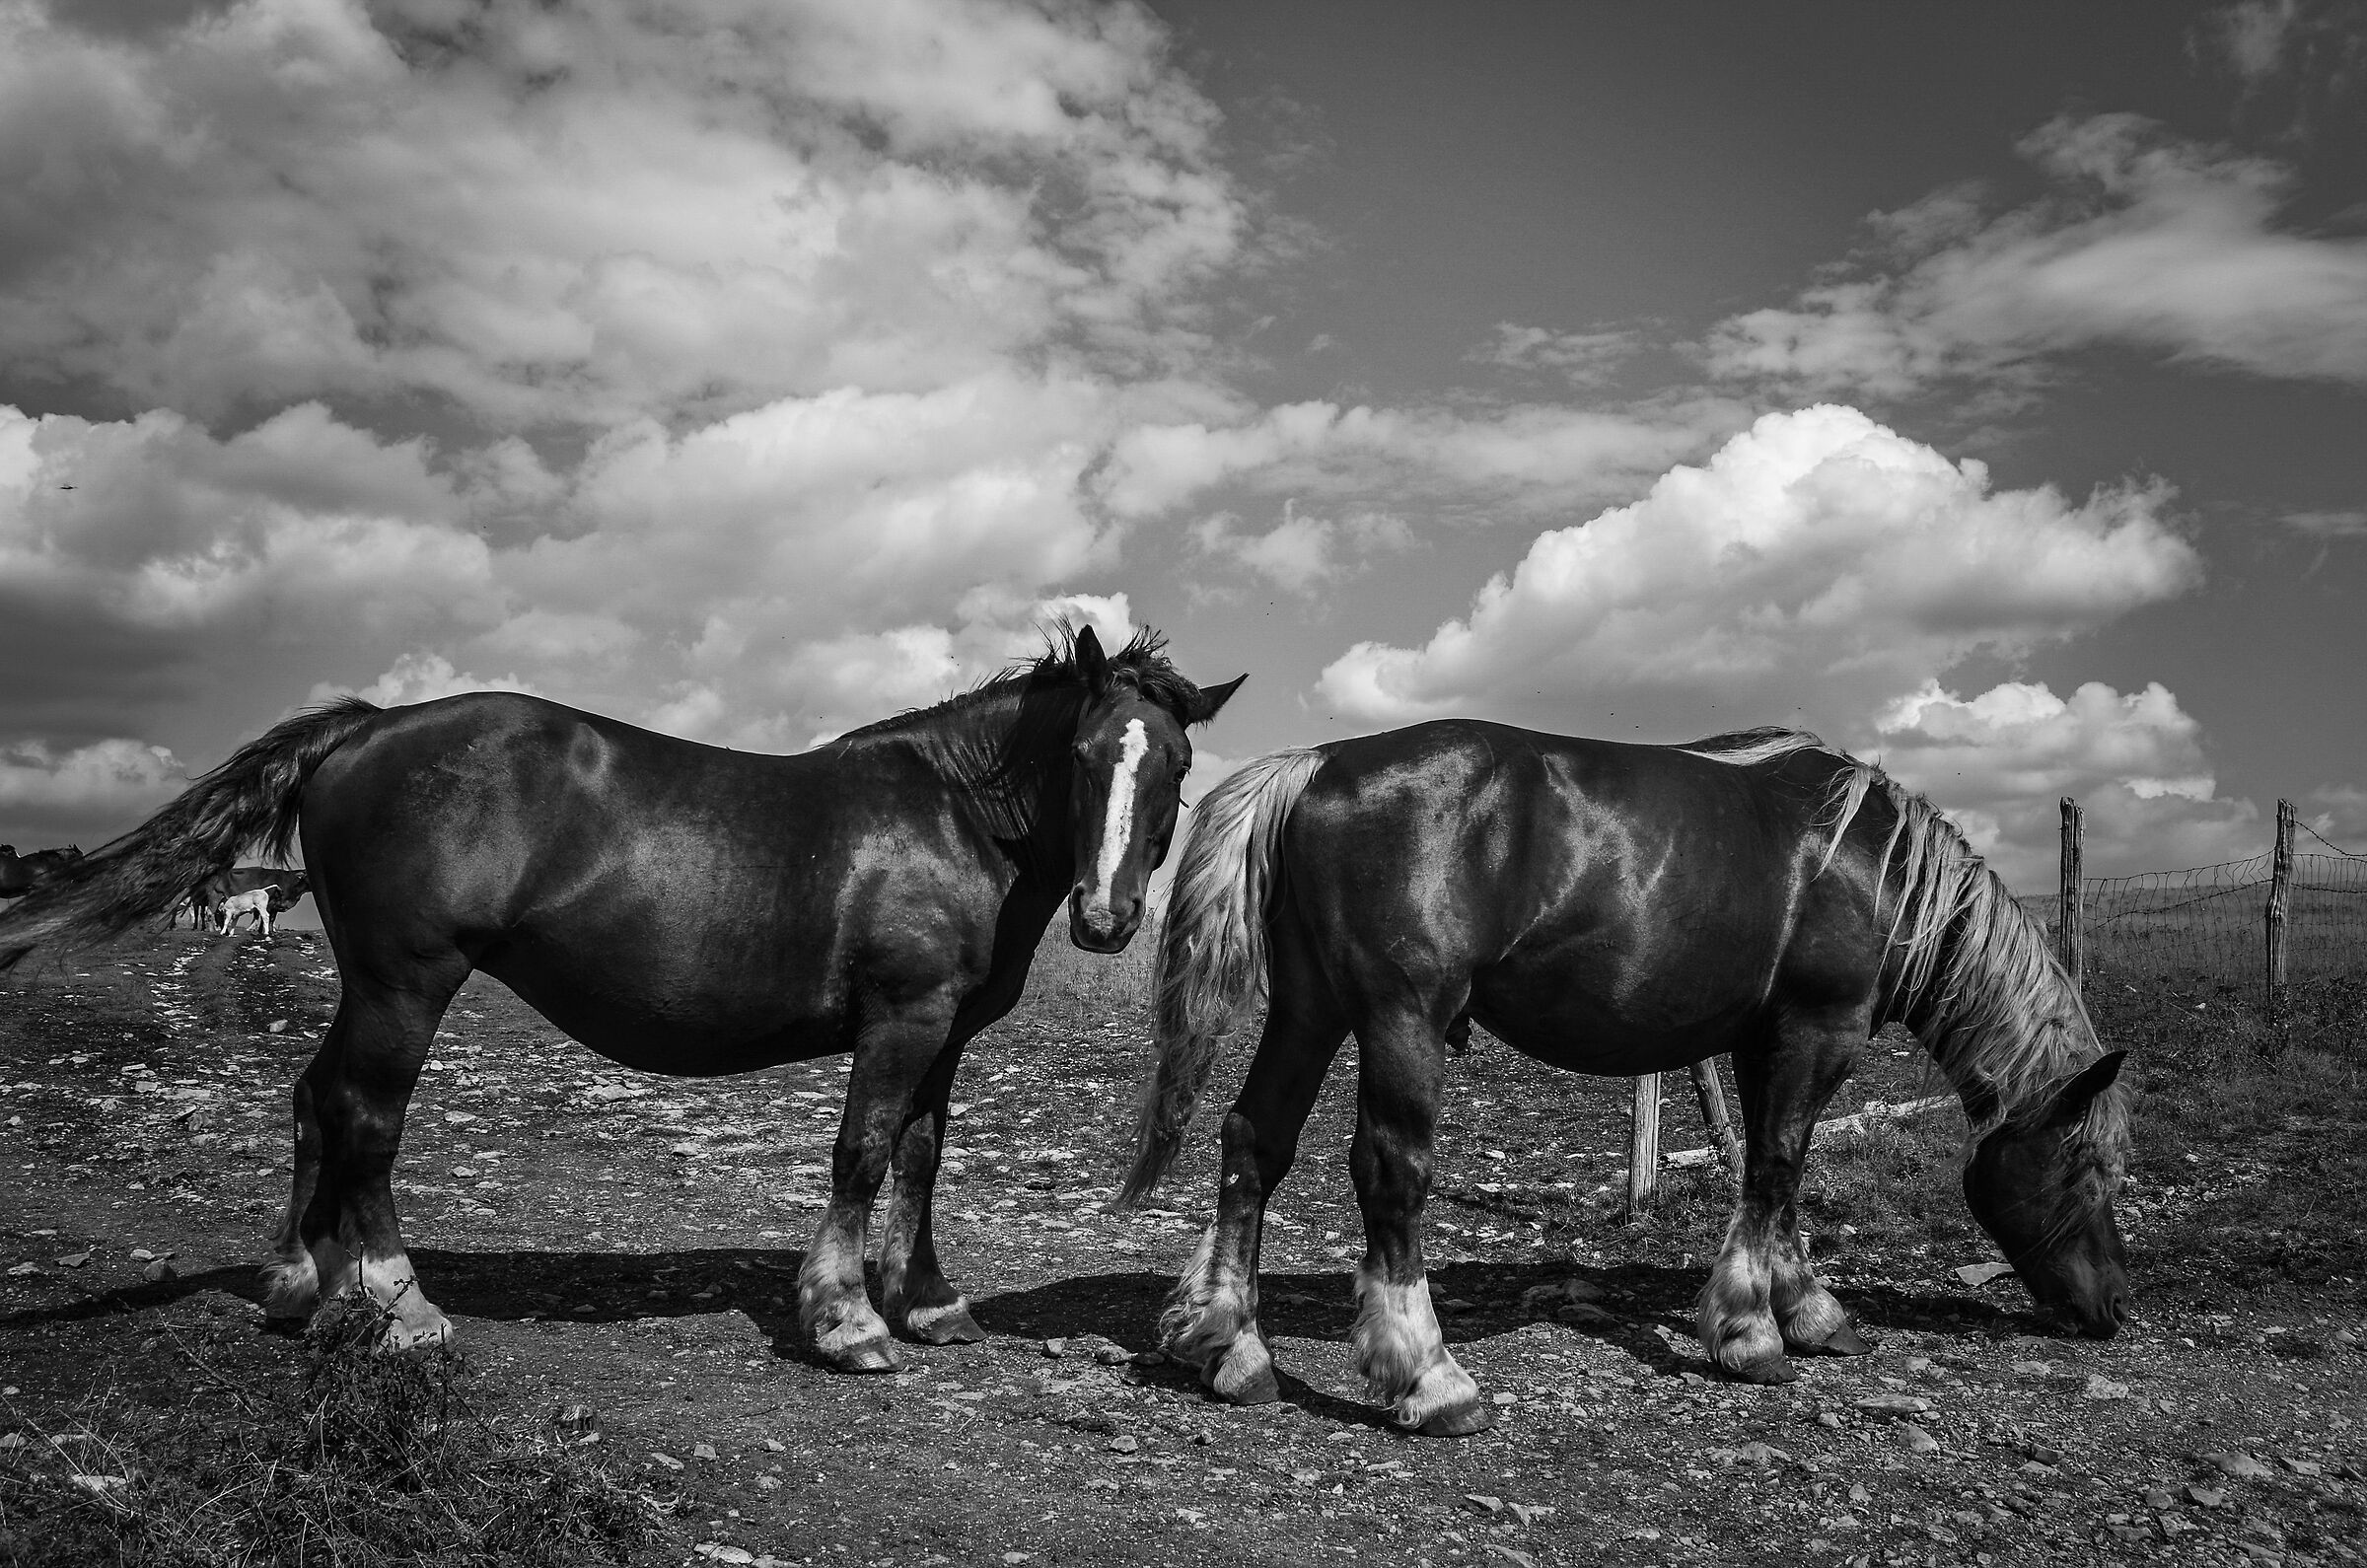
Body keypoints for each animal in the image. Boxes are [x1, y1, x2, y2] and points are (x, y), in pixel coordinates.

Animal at [1, 626, 1240, 1363]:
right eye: (1082, 756)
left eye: (1176, 767)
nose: (1105, 920)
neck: (949, 813)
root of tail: (367, 727)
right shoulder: (903, 1018)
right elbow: (862, 1154)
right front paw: (845, 1317)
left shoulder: (945, 1031)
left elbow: (921, 1158)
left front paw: (926, 1300)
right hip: (406, 983)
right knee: (362, 1114)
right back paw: (402, 1303)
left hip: (368, 986)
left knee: (313, 1101)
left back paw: (304, 1280)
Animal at [1118, 722, 2129, 1437]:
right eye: (2091, 1169)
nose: (2113, 1308)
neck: (1871, 861)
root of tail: (1320, 764)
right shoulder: (1819, 1027)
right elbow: (1777, 1166)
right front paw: (1753, 1332)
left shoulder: (1763, 1039)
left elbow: (1774, 1169)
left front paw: (1804, 1308)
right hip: (1400, 1018)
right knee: (1389, 1173)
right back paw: (1431, 1379)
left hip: (1311, 1008)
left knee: (1256, 1140)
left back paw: (1230, 1344)